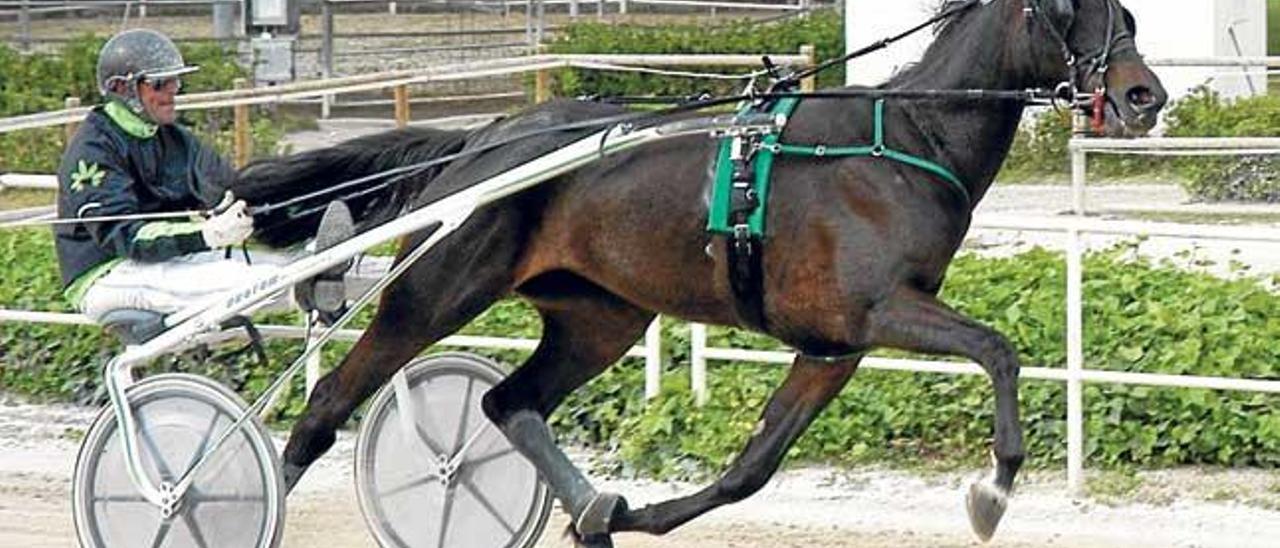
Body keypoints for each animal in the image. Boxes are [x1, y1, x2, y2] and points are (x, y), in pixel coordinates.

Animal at [235, 0, 1167, 542]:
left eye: (1127, 10)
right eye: (1073, 11)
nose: (1142, 96)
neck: (903, 140)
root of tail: (486, 137)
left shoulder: (831, 347)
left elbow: (751, 468)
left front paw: (641, 514)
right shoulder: (877, 310)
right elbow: (1000, 350)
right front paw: (994, 488)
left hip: (602, 316)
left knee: (509, 402)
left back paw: (591, 506)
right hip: (436, 290)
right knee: (327, 403)